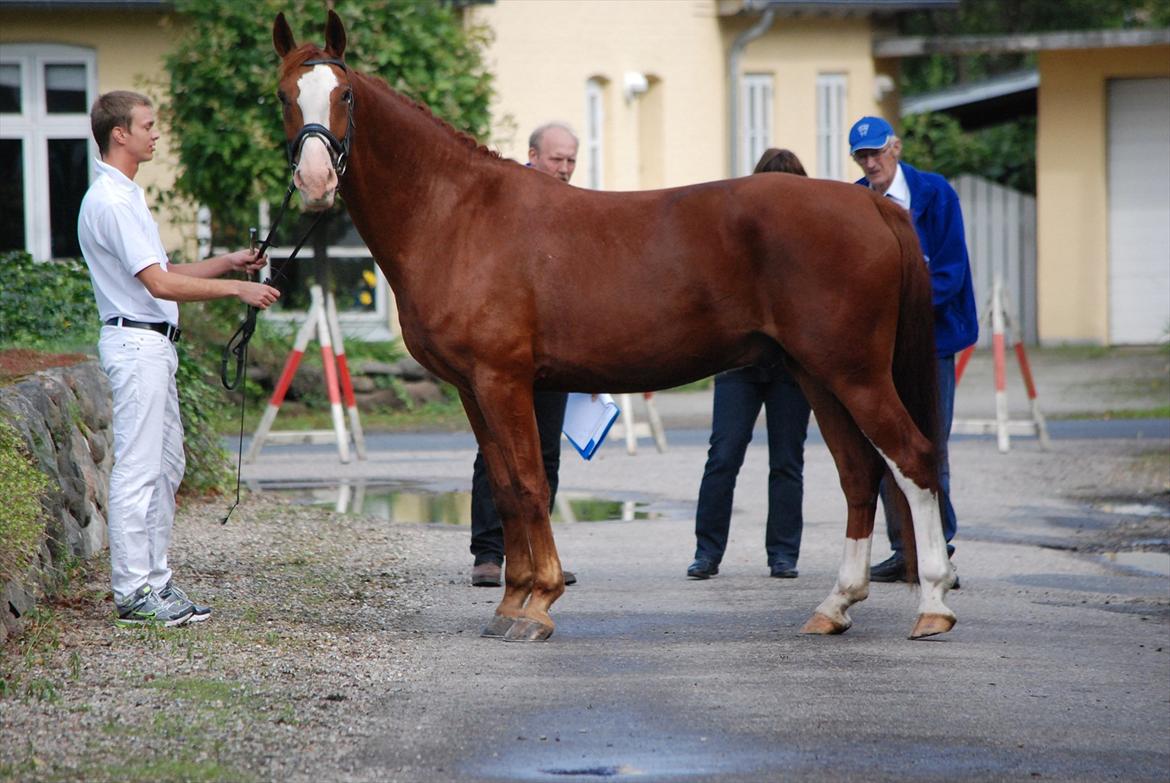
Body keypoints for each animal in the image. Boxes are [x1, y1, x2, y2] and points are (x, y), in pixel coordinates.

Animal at [276, 12, 959, 641]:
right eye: (284, 95)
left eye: (346, 95)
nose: (315, 181)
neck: (459, 213)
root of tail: (871, 203)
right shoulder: (473, 388)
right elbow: (504, 484)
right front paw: (511, 601)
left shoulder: (502, 380)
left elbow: (528, 483)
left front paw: (538, 603)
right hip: (816, 374)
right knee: (859, 474)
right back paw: (835, 607)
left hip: (854, 374)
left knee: (912, 458)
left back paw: (933, 605)